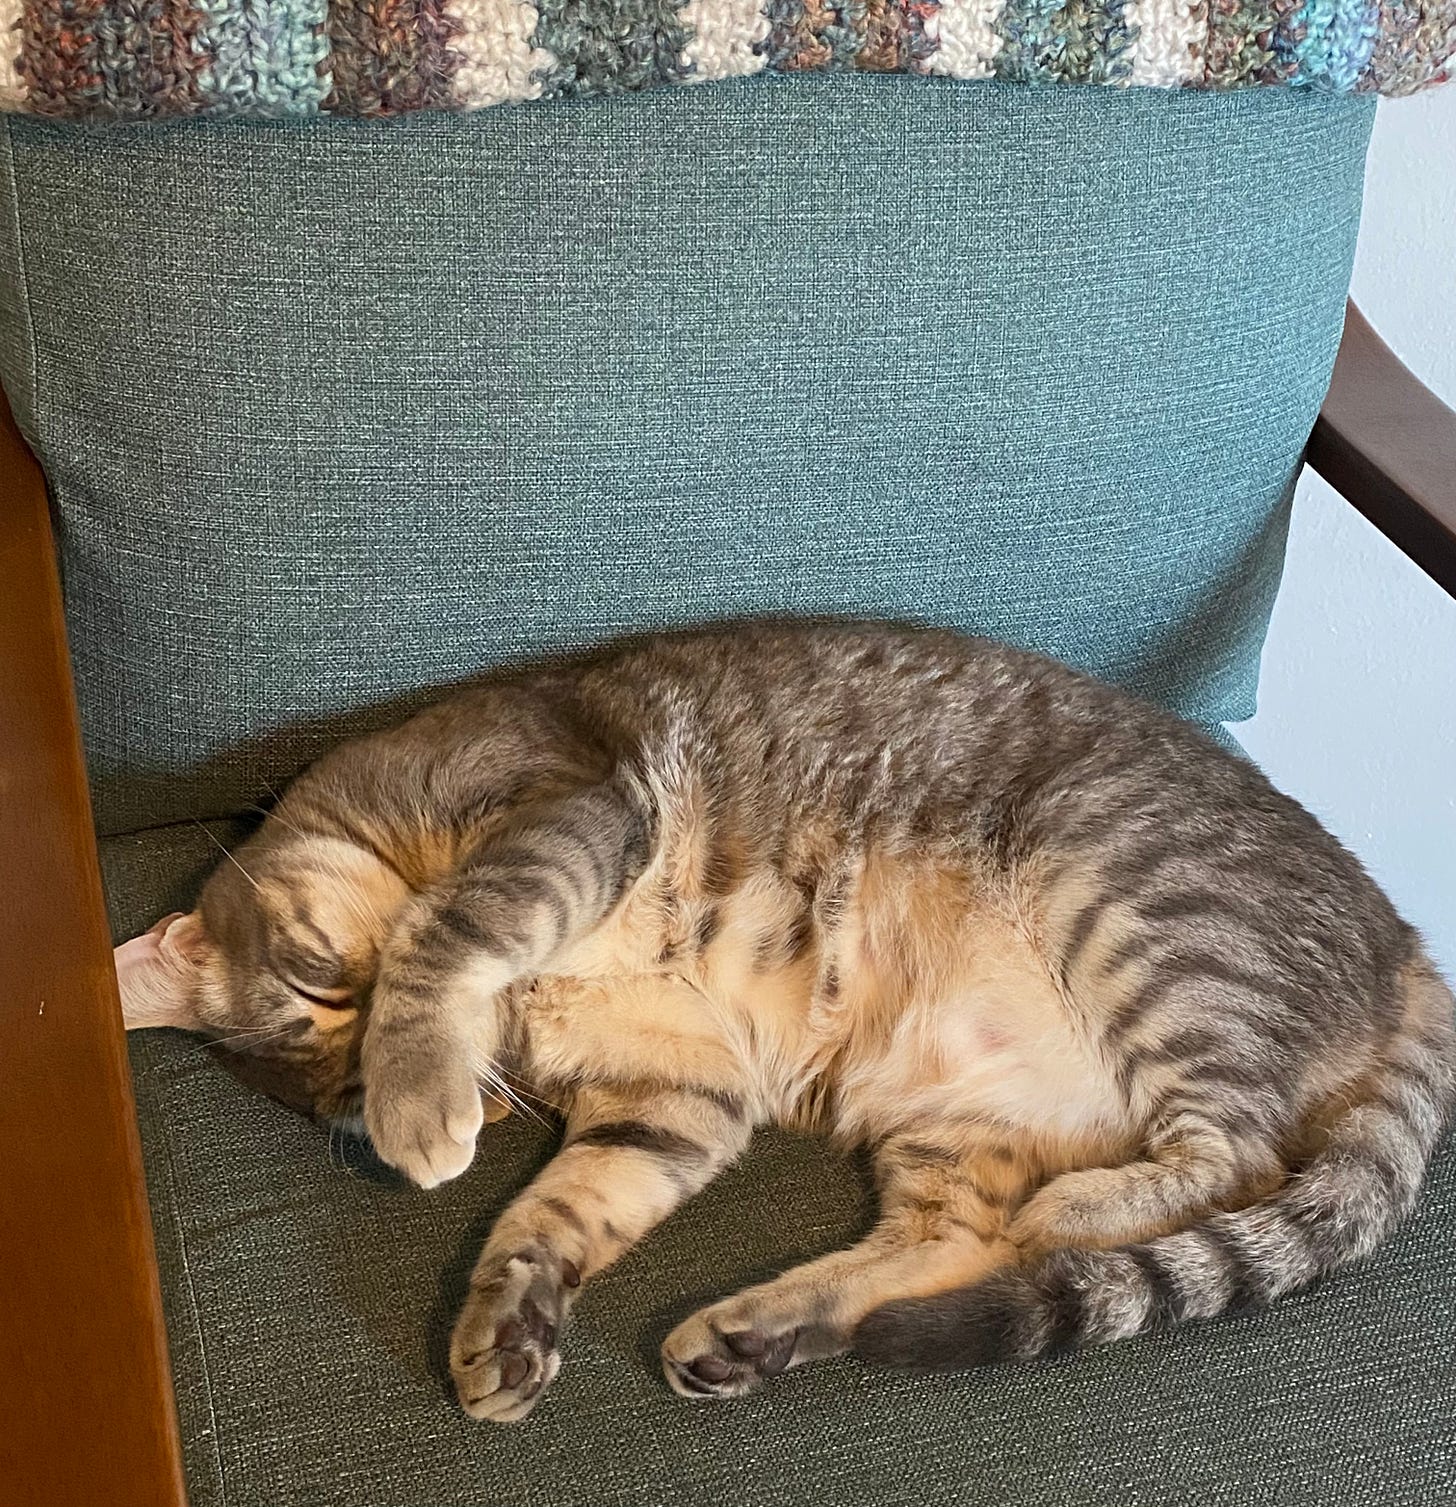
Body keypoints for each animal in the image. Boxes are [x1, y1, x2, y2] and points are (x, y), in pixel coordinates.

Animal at [119, 617, 1452, 1416]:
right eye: (322, 1049)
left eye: (322, 977)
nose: (436, 1092)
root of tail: (1408, 942)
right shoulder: (671, 1094)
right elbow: (551, 1213)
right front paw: (508, 1325)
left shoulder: (571, 806)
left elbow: (447, 925)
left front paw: (424, 1090)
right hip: (957, 1118)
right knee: (955, 1243)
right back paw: (751, 1328)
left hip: (1133, 904)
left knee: (1232, 1154)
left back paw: (1075, 1209)